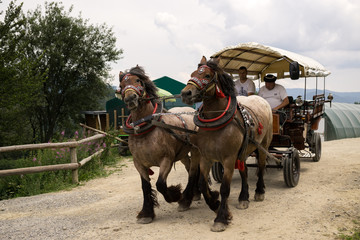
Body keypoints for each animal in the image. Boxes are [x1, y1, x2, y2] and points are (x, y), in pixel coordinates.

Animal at [119, 65, 201, 223]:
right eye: (121, 86)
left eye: (138, 80)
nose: (131, 98)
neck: (145, 130)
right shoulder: (139, 163)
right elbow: (145, 186)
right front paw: (146, 213)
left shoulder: (166, 160)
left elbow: (160, 184)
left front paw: (176, 194)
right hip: (182, 154)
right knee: (189, 168)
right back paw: (195, 194)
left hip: (195, 151)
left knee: (193, 171)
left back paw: (186, 199)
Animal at [181, 56, 272, 231]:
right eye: (193, 73)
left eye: (207, 75)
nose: (185, 93)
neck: (214, 124)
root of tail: (261, 99)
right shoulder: (206, 157)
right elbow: (202, 184)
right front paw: (215, 205)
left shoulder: (229, 159)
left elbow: (224, 188)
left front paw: (221, 218)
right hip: (243, 151)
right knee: (244, 171)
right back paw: (244, 197)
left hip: (263, 145)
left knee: (261, 167)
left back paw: (259, 191)